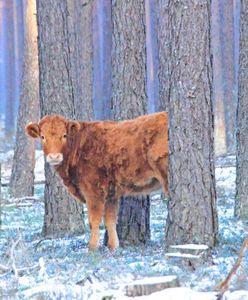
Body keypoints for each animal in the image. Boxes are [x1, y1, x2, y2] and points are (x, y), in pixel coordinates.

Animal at [25, 111, 169, 250]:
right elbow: (110, 220)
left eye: (64, 135)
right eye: (42, 137)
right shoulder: (111, 194)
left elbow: (93, 221)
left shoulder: (93, 191)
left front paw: (92, 248)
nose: (54, 156)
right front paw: (113, 246)